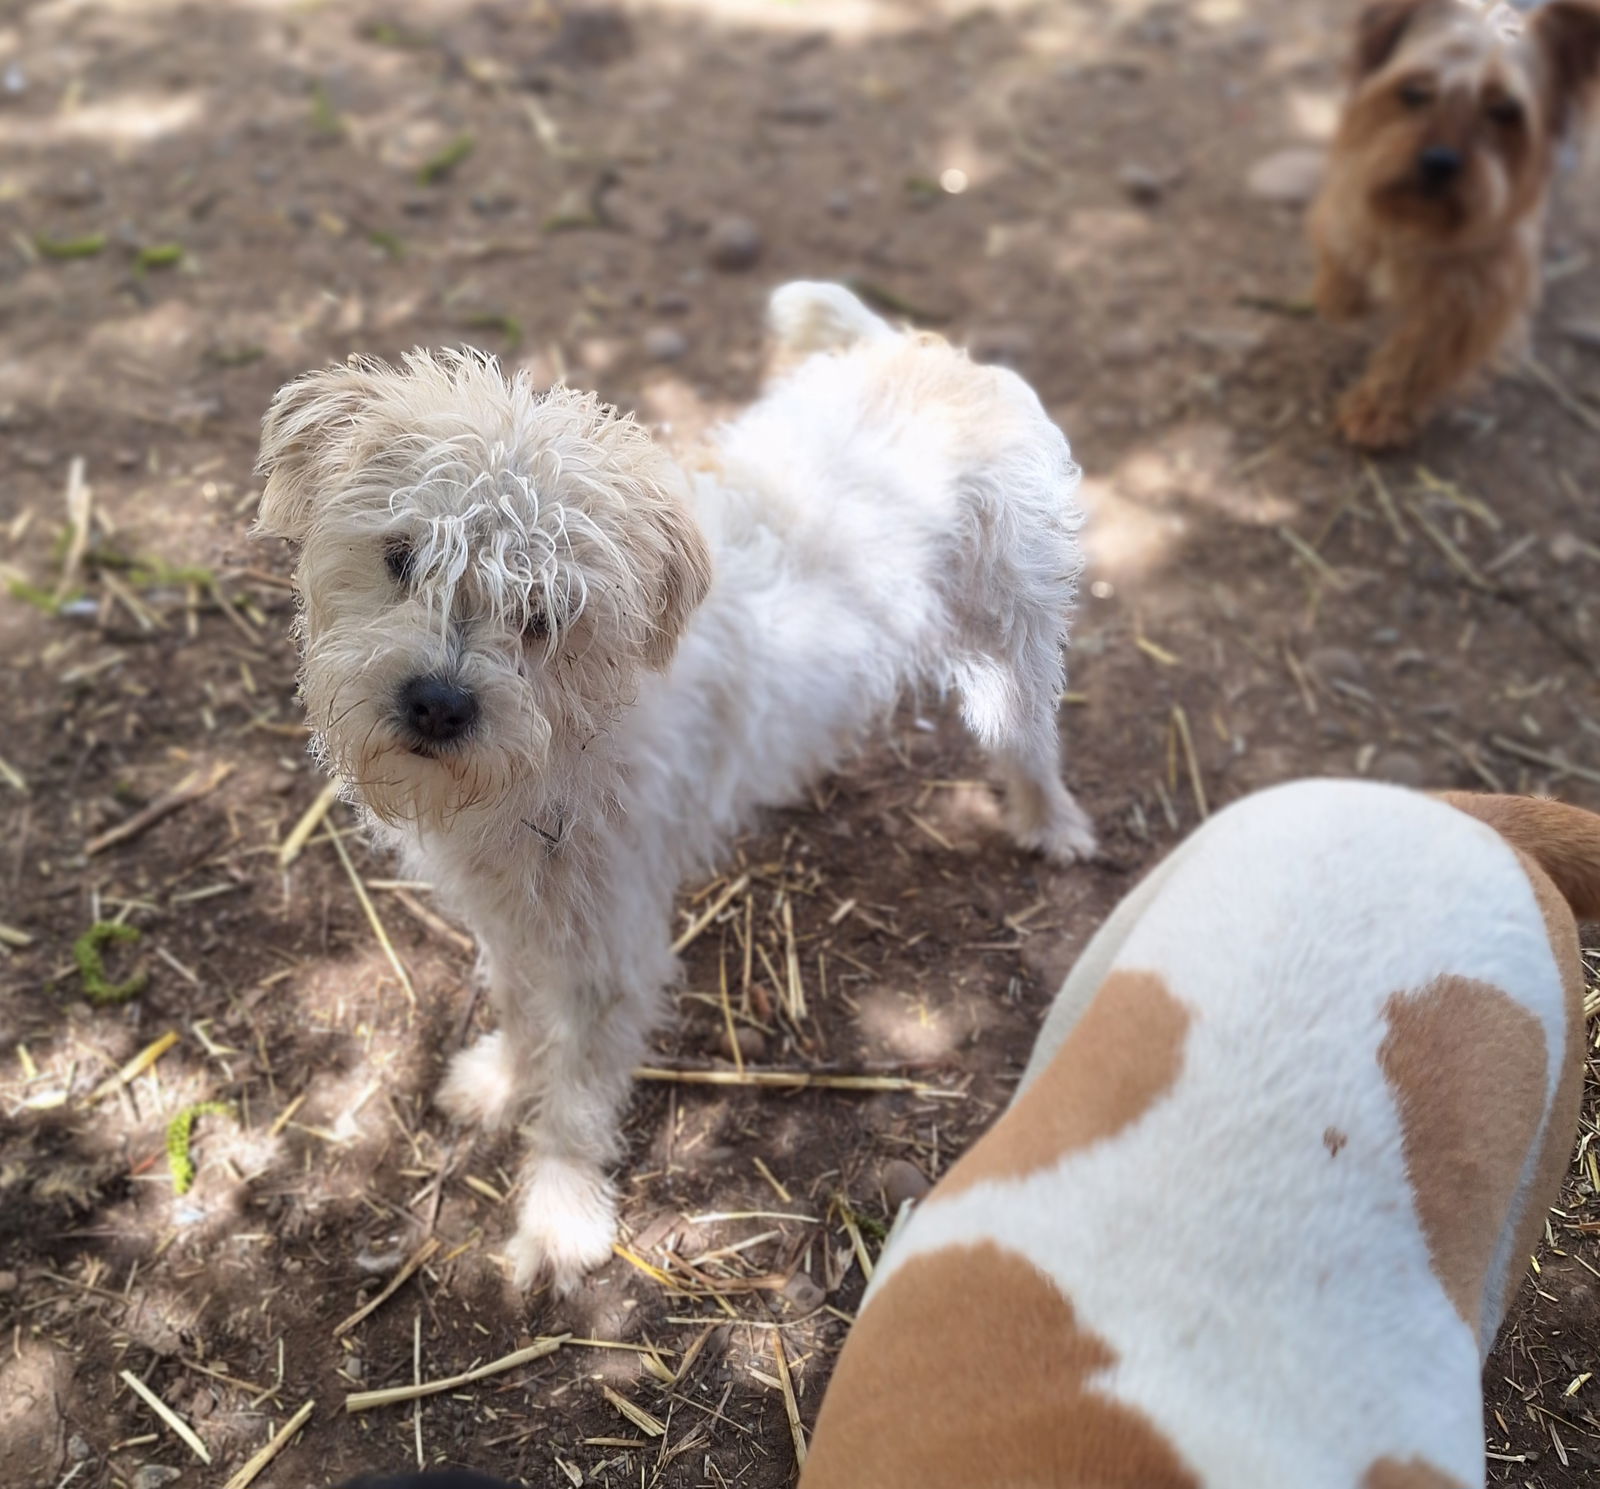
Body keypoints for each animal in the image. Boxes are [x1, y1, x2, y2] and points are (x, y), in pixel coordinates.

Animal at [256, 279, 1094, 1292]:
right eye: (402, 555)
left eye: (546, 612)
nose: (436, 703)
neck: (567, 742)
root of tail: (935, 356)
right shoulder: (515, 915)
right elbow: (518, 1005)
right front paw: (500, 1079)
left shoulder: (611, 955)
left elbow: (577, 1099)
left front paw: (560, 1222)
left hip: (1013, 652)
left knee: (1033, 745)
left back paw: (1053, 824)